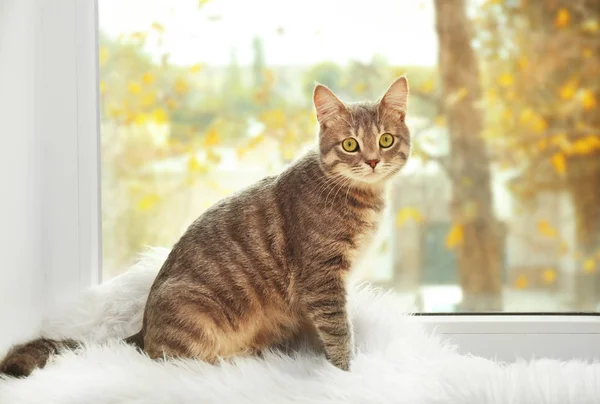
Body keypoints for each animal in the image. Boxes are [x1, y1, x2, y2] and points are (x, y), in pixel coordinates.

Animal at [0, 77, 410, 378]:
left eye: (385, 139)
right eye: (350, 144)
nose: (373, 161)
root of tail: (142, 330)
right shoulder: (321, 280)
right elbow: (338, 330)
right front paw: (344, 371)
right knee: (178, 358)